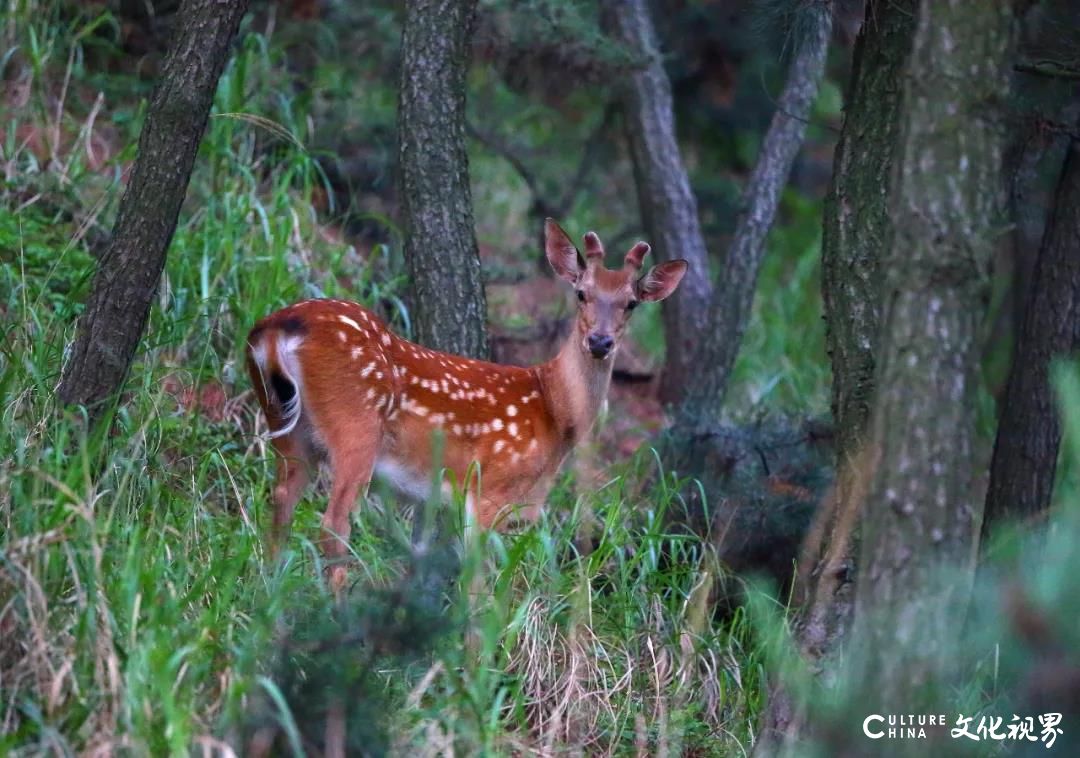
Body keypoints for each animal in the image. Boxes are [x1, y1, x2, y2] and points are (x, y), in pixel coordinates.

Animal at [247, 220, 682, 587]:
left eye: (631, 303)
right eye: (581, 293)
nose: (600, 342)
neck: (554, 412)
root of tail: (278, 328)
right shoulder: (490, 487)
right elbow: (478, 580)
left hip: (286, 424)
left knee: (280, 501)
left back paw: (267, 595)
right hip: (356, 426)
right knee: (334, 524)